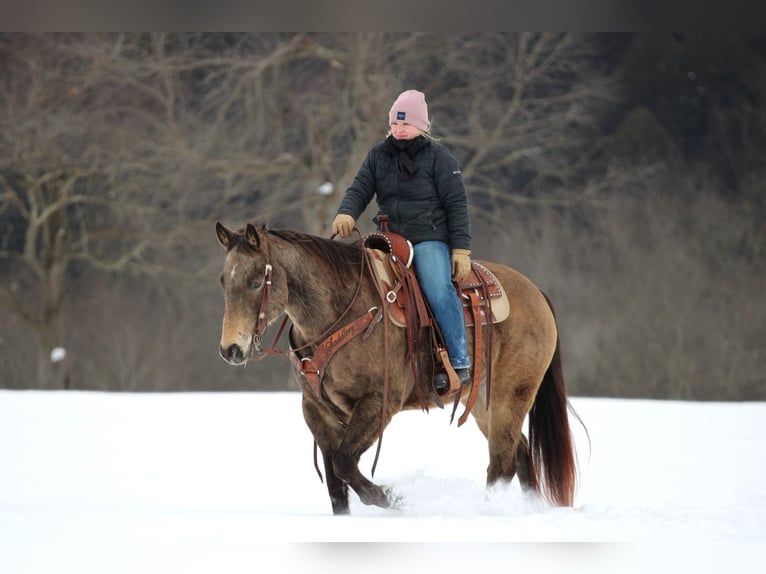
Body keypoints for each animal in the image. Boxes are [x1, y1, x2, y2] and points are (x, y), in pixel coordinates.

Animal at [215, 221, 581, 515]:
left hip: (511, 397)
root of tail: (537, 294)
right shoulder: (316, 410)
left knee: (502, 464)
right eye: (224, 281)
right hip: (481, 404)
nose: (230, 349)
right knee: (520, 455)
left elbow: (344, 463)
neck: (341, 315)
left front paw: (391, 497)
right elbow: (336, 485)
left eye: (255, 282)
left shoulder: (378, 403)